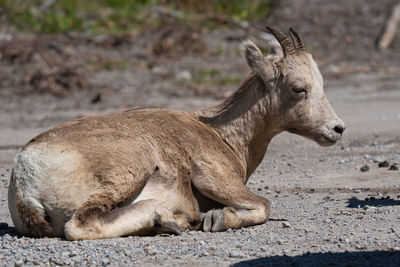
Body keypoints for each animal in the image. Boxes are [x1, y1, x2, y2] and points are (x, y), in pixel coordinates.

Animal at [7, 27, 344, 241]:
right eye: (298, 88)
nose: (336, 129)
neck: (220, 135)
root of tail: (27, 173)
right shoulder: (215, 179)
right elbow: (263, 205)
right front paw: (217, 219)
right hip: (131, 166)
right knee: (80, 225)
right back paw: (172, 218)